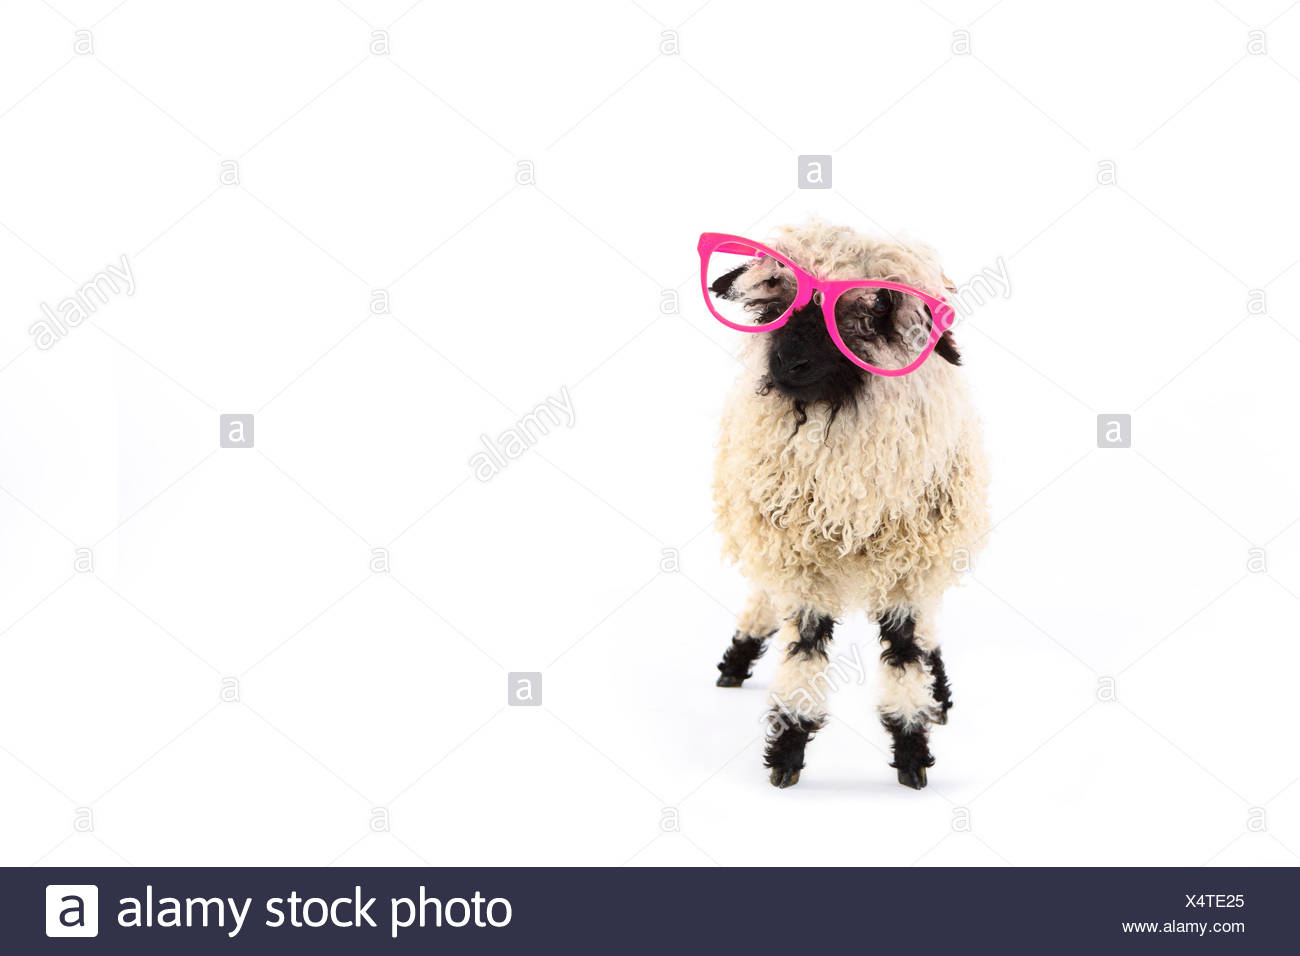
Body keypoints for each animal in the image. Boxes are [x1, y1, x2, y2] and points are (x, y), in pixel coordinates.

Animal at [706, 219, 990, 789]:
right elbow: (803, 652)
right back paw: (735, 662)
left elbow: (905, 655)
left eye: (875, 308)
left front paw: (912, 749)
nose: (787, 362)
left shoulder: (907, 567)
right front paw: (788, 751)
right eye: (775, 300)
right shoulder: (801, 558)